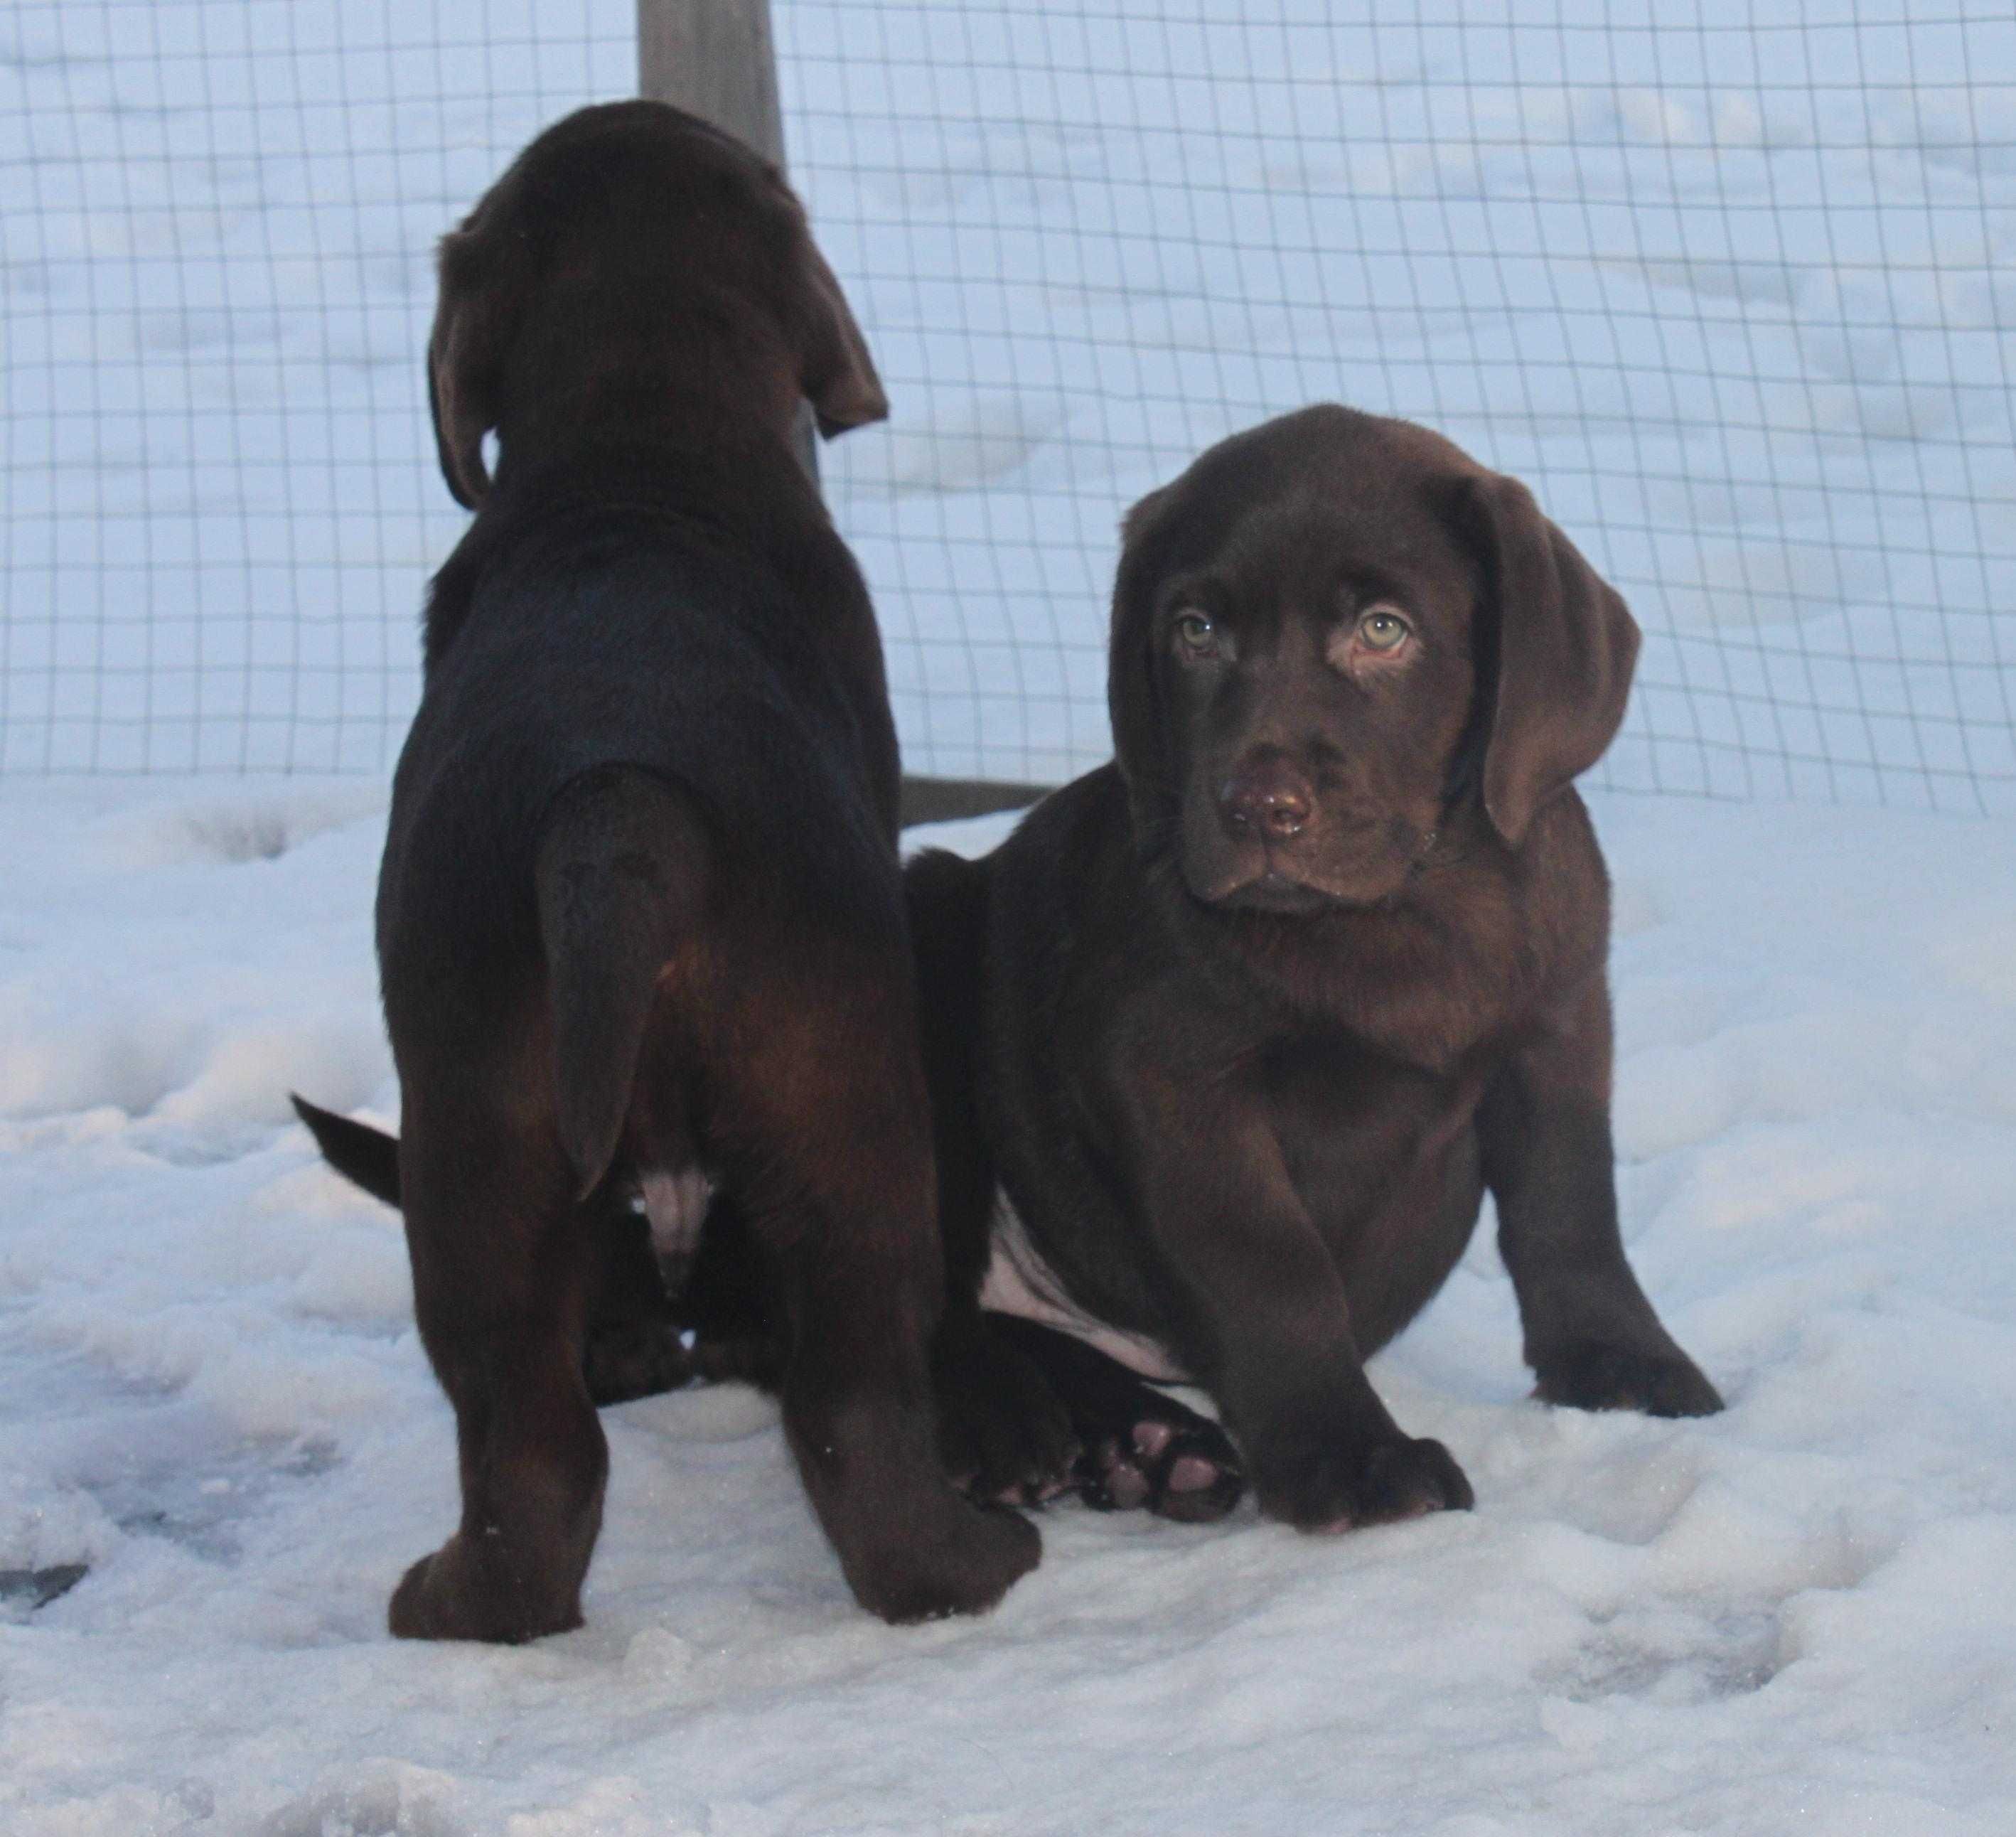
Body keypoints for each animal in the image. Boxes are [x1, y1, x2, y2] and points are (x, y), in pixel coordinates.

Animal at [353, 100, 1032, 1637]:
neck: (635, 435)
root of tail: (617, 810)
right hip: (845, 1107)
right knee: (855, 1398)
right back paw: (974, 1564)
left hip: (475, 1137)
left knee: (529, 1437)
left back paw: (454, 1601)